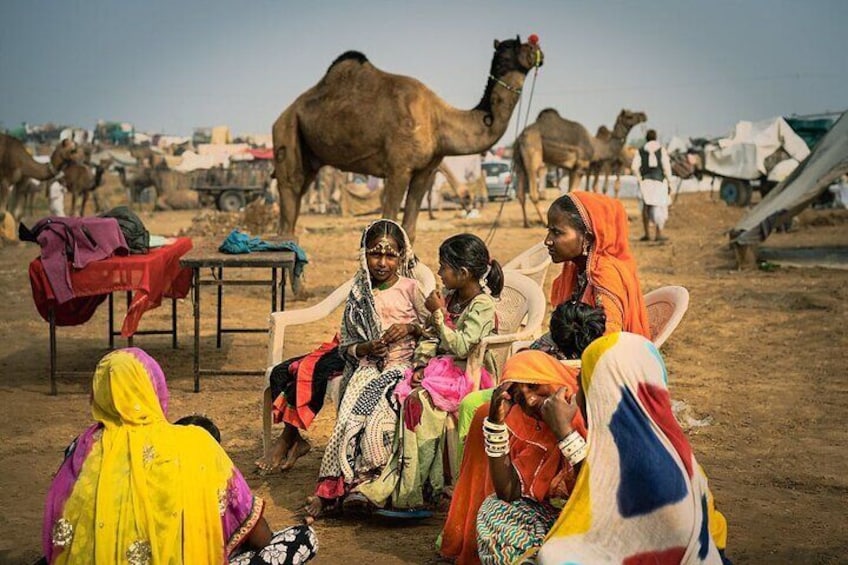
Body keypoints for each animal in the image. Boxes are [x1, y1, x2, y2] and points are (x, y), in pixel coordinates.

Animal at [272, 35, 544, 240]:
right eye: (511, 50)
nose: (537, 49)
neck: (437, 120)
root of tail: (282, 116)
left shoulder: (425, 170)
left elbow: (410, 230)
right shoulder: (399, 168)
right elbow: (389, 223)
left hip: (310, 158)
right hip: (287, 132)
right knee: (289, 192)